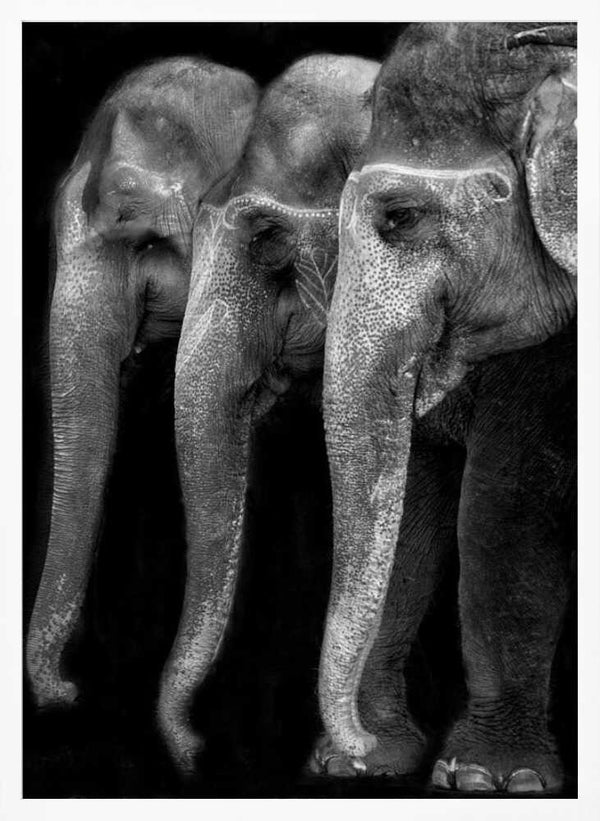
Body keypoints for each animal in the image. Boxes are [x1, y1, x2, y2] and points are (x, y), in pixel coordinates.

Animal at [317, 23, 576, 792]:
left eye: (399, 218)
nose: (356, 746)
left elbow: (507, 502)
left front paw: (493, 778)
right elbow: (422, 494)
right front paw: (372, 764)